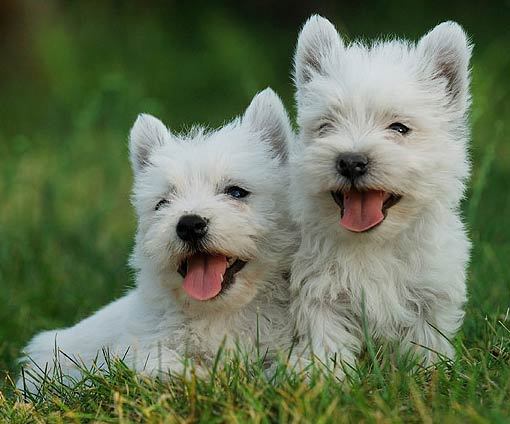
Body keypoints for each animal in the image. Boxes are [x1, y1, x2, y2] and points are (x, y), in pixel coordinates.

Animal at [19, 88, 296, 392]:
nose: (189, 225)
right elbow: (165, 366)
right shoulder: (142, 351)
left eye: (236, 192)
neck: (218, 313)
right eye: (162, 203)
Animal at [288, 14, 472, 376]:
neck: (374, 244)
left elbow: (426, 340)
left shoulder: (431, 293)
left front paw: (428, 374)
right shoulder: (319, 292)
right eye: (326, 126)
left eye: (399, 128)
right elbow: (325, 338)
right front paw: (324, 377)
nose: (351, 161)